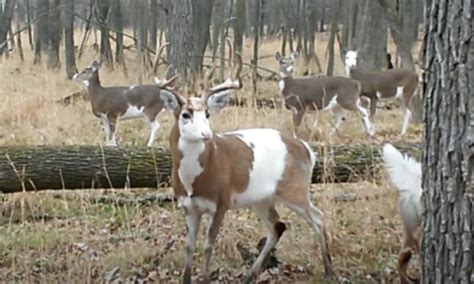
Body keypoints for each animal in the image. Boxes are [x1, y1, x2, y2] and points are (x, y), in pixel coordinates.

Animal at [158, 52, 334, 282]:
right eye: (185, 114)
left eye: (207, 114)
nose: (206, 134)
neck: (193, 181)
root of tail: (307, 149)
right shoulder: (188, 206)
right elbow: (189, 247)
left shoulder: (221, 202)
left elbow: (207, 246)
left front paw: (206, 278)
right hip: (262, 198)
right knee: (278, 226)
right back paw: (249, 276)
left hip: (295, 190)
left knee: (318, 217)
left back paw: (329, 270)